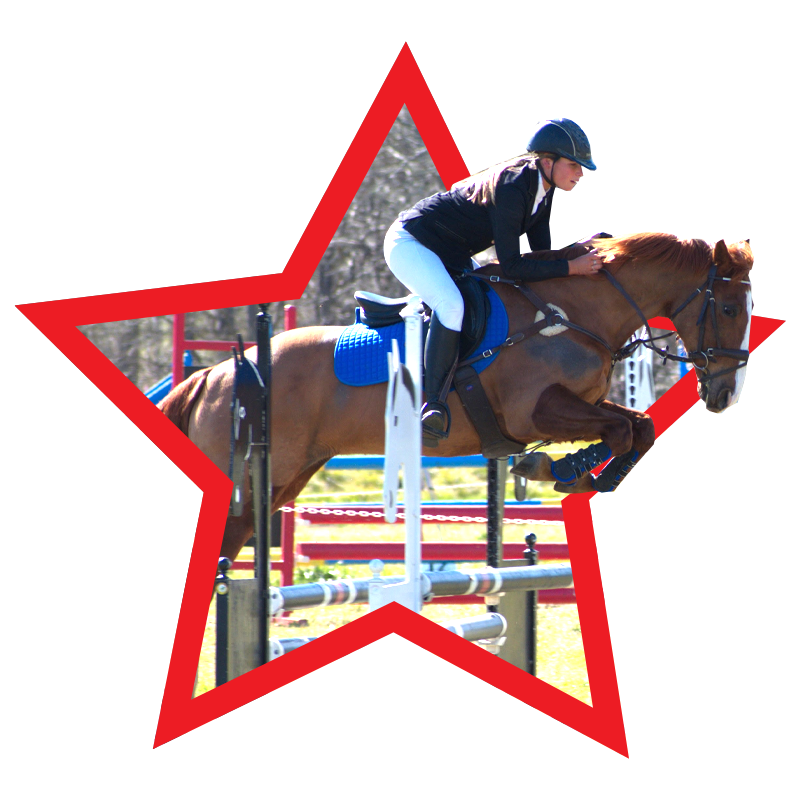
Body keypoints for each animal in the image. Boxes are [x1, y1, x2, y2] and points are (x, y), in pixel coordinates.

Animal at [158, 232, 754, 565]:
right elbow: (621, 429)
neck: (571, 313)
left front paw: (577, 474)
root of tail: (216, 373)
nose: (726, 393)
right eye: (727, 308)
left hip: (284, 478)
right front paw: (559, 469)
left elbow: (637, 428)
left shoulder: (573, 406)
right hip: (251, 473)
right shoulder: (533, 411)